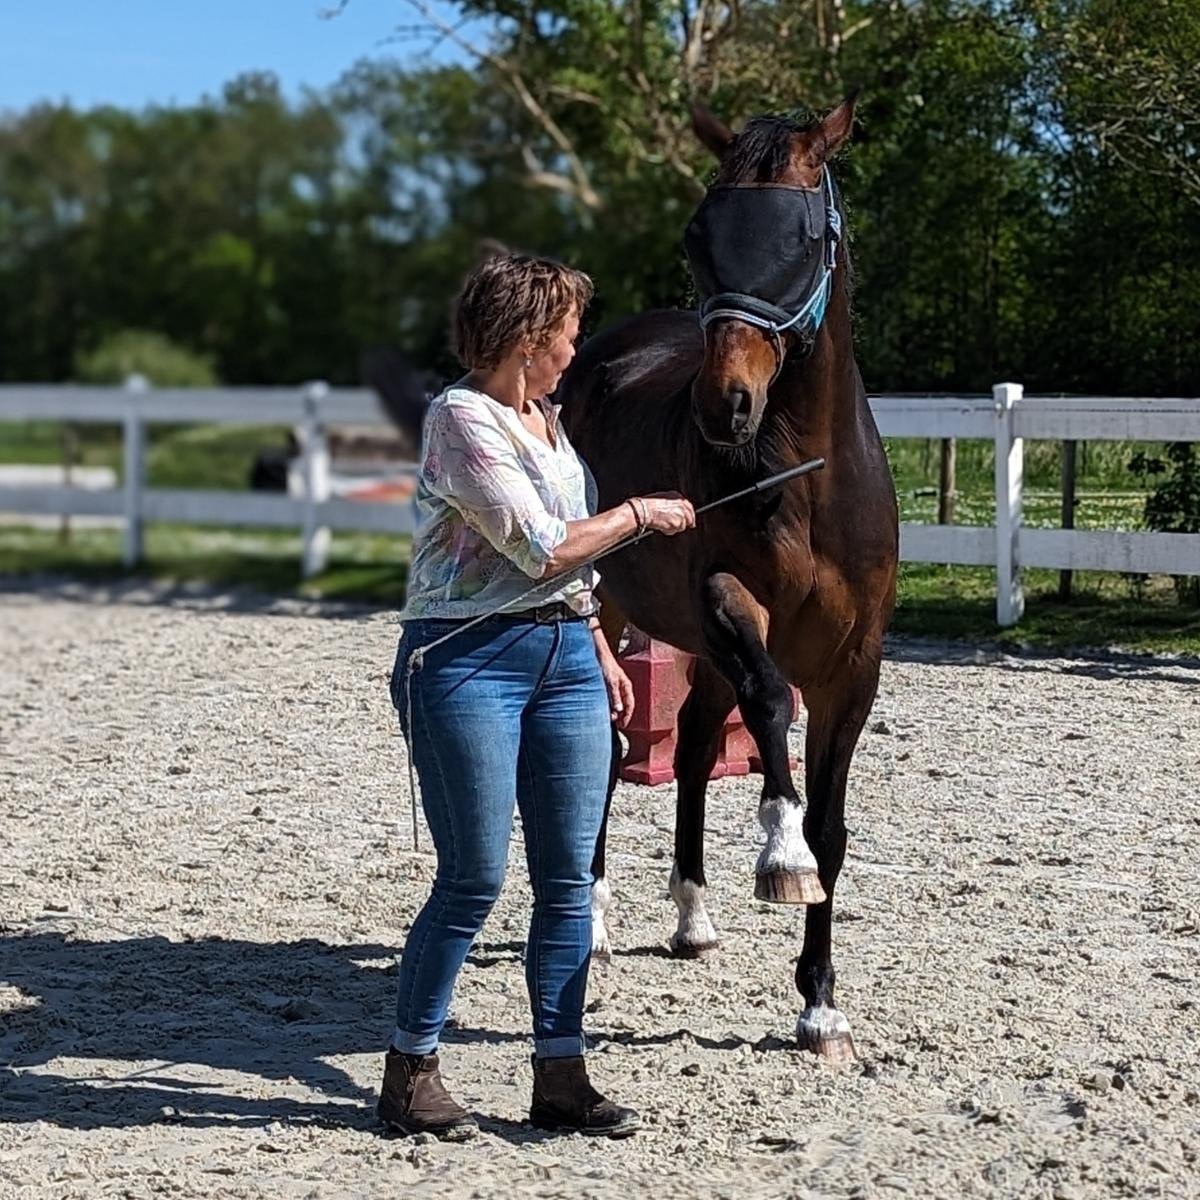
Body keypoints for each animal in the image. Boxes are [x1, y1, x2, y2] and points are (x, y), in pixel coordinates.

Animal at [561, 100, 902, 1060]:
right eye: (700, 232)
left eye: (803, 235)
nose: (724, 406)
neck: (810, 481)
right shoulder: (728, 604)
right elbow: (773, 705)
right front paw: (779, 855)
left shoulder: (854, 667)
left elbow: (830, 826)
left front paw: (820, 1005)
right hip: (615, 615)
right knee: (611, 744)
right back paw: (594, 921)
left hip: (696, 650)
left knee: (693, 746)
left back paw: (692, 917)